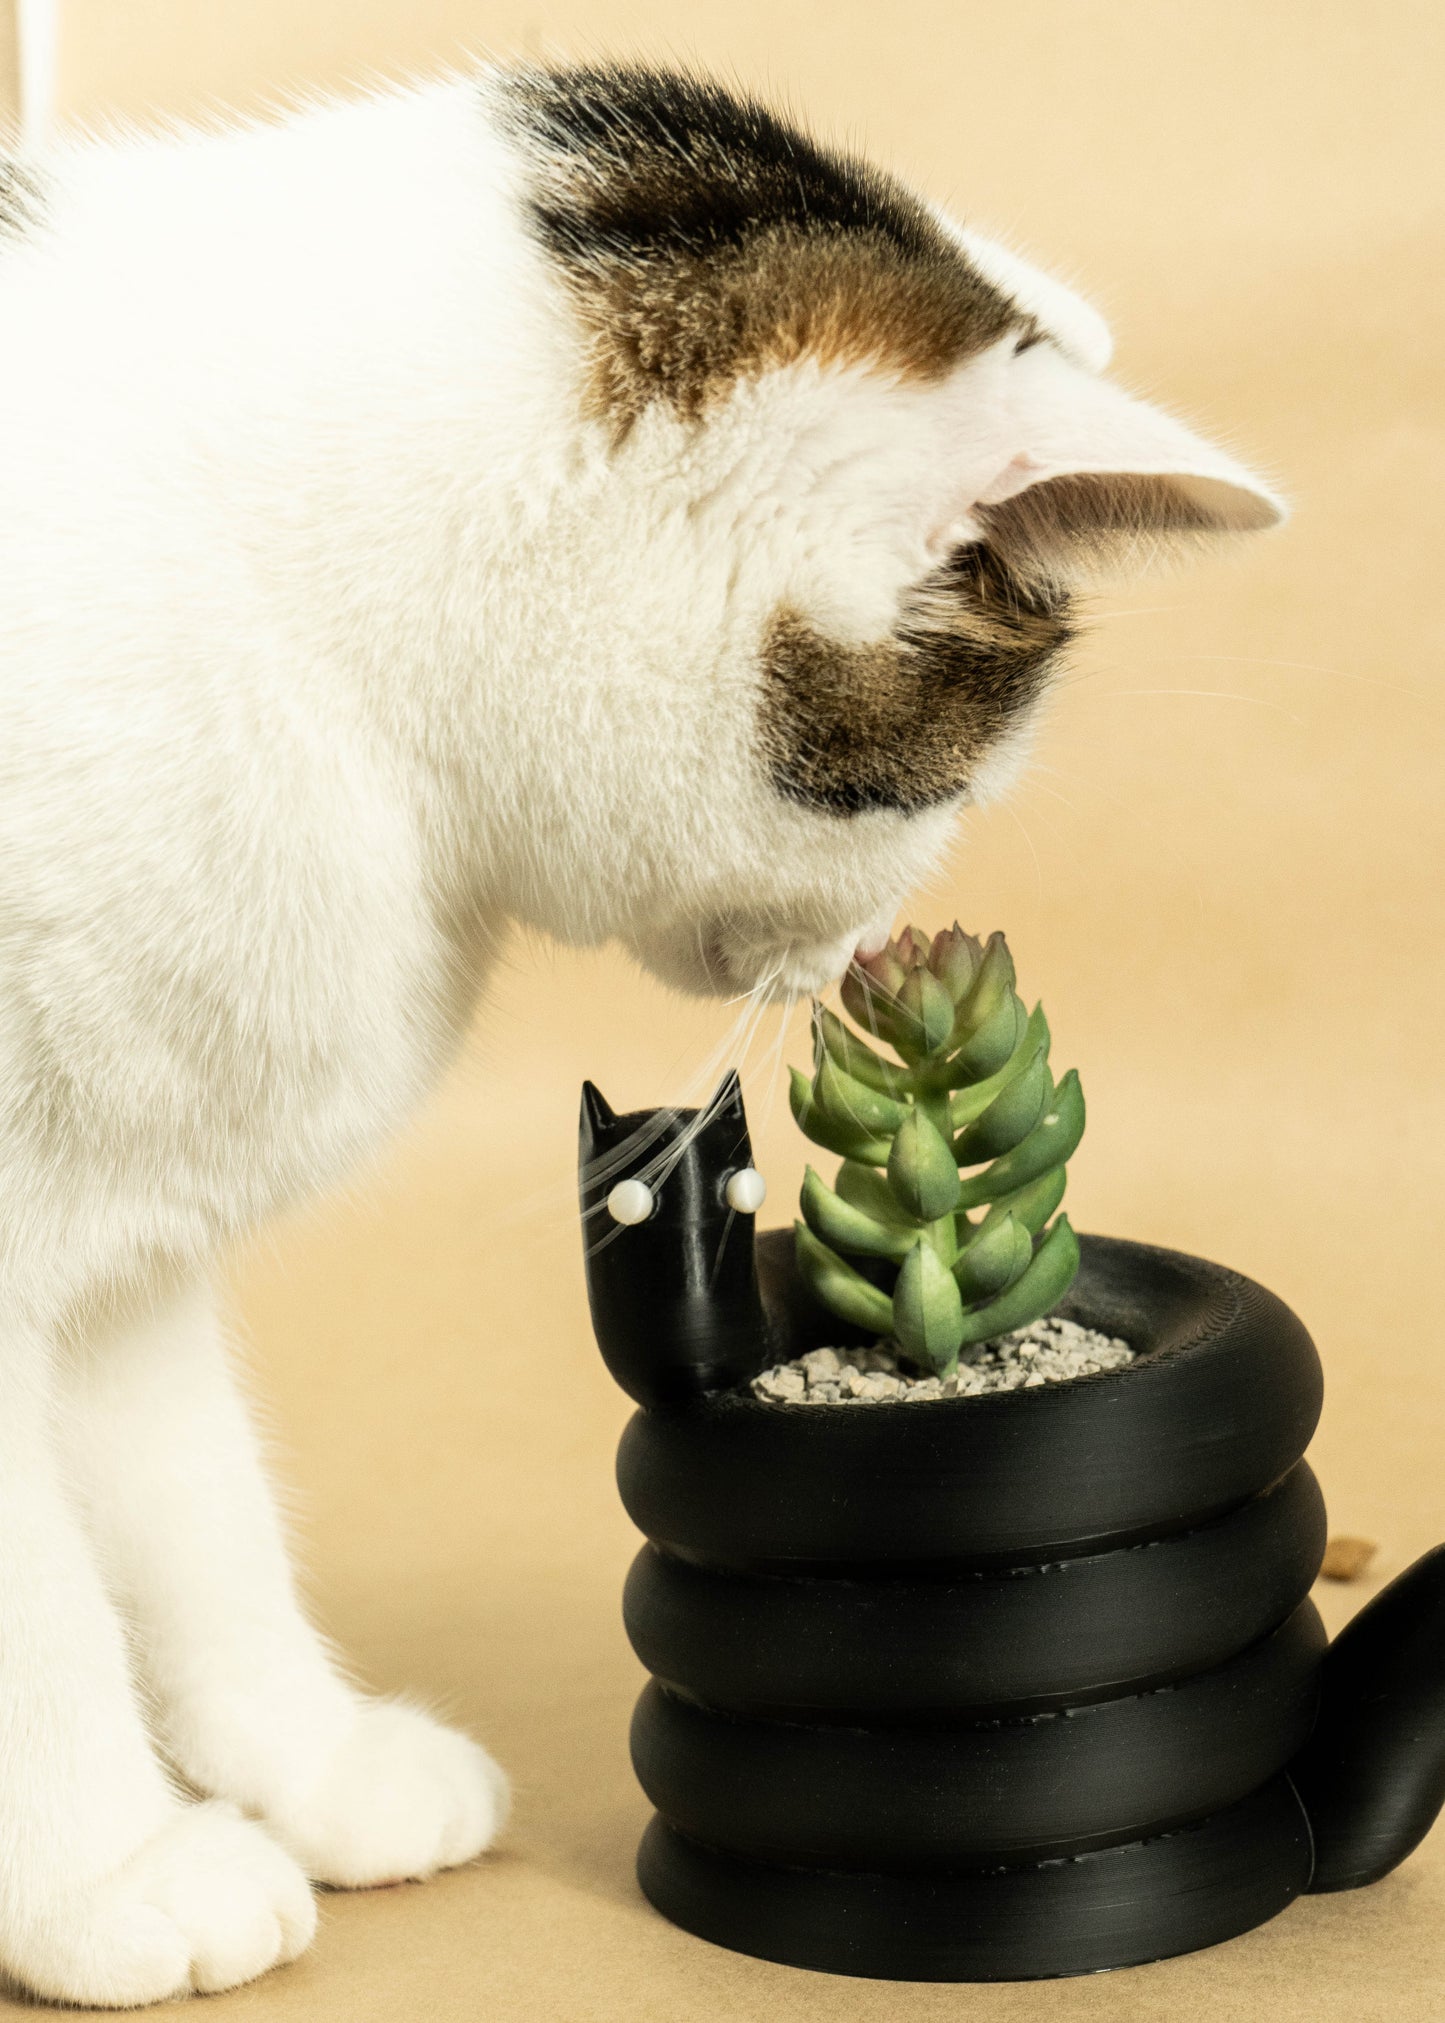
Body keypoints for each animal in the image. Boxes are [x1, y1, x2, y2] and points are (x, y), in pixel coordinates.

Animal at [0, 55, 1279, 1998]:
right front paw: (111, 1870)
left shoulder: (130, 1217)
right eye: (935, 790)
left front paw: (307, 1765)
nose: (877, 945)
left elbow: (190, 1499)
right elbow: (41, 1606)